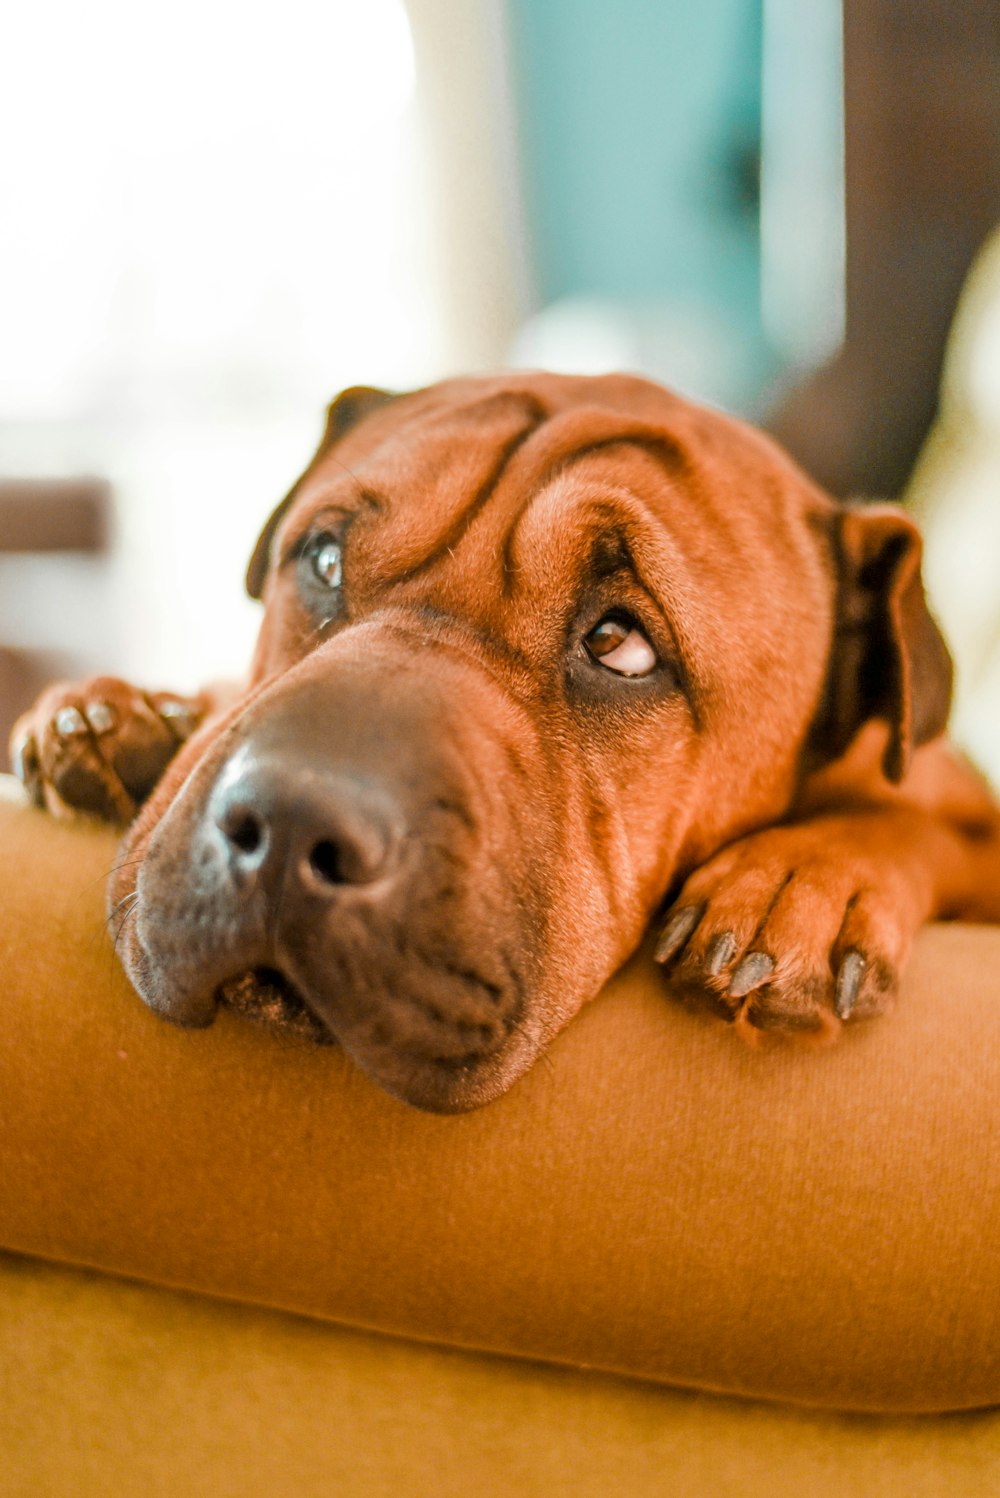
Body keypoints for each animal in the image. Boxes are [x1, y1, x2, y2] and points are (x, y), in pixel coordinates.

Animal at [7, 371, 999, 1114]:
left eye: (620, 643)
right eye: (323, 560)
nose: (288, 824)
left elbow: (915, 828)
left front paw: (804, 880)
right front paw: (131, 713)